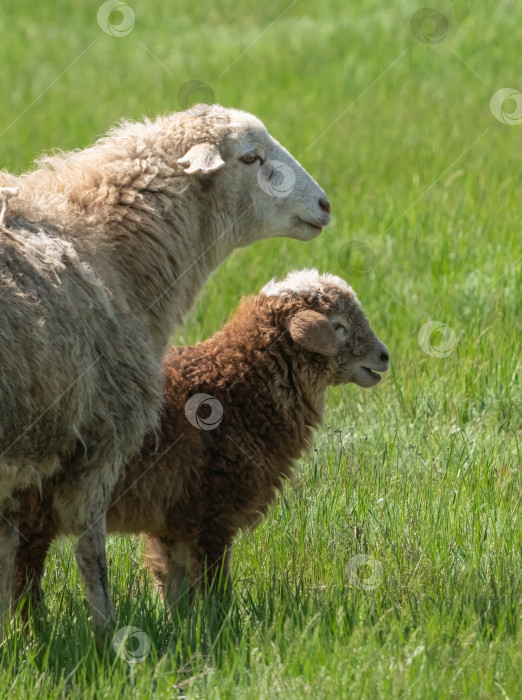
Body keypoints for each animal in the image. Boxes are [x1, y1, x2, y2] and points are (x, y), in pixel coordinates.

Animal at [14, 270, 386, 616]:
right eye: (338, 326)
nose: (384, 356)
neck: (236, 386)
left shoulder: (173, 522)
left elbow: (174, 588)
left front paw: (179, 629)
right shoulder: (212, 512)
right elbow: (215, 589)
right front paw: (220, 627)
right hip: (35, 506)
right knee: (24, 580)